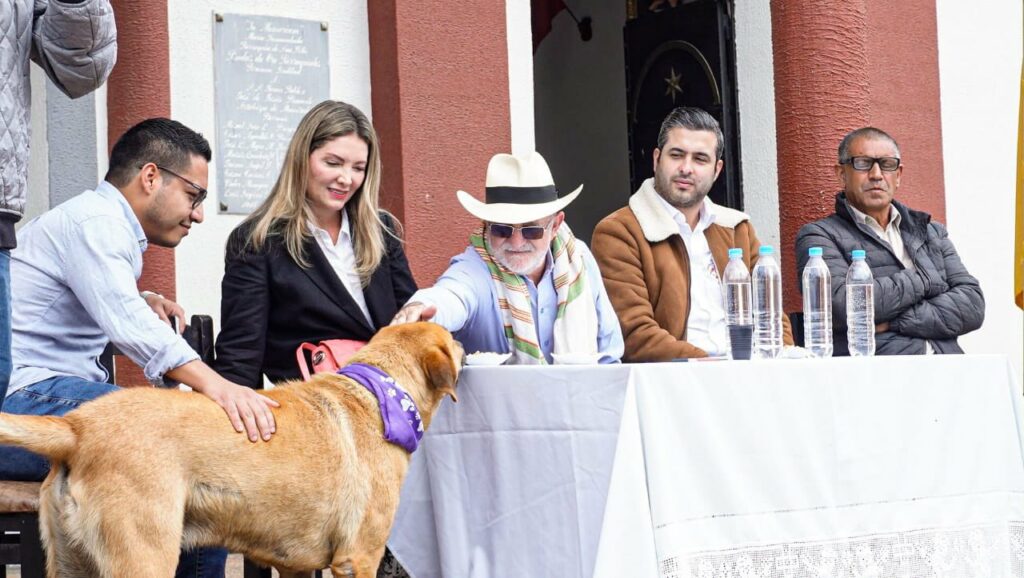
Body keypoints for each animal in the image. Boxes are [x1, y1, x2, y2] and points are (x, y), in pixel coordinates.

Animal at [0, 323, 460, 573]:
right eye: (452, 340)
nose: (463, 338)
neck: (380, 391)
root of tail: (77, 426)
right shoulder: (359, 557)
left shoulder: (293, 565)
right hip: (145, 555)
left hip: (72, 562)